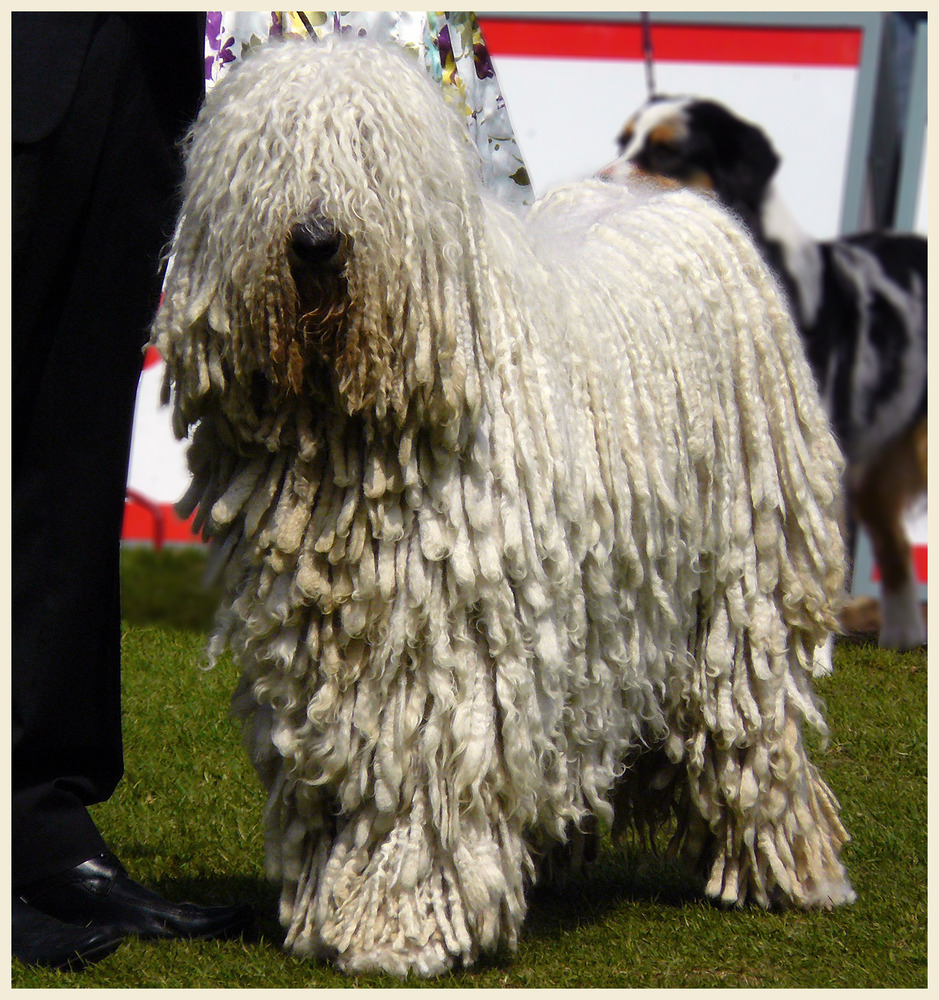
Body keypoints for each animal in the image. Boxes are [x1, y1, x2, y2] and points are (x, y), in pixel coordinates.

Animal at [156, 37, 860, 976]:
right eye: (270, 156)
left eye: (369, 158)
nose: (314, 240)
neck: (346, 437)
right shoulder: (317, 643)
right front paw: (326, 907)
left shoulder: (448, 643)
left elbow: (427, 774)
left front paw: (399, 925)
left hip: (740, 580)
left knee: (750, 720)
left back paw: (785, 870)